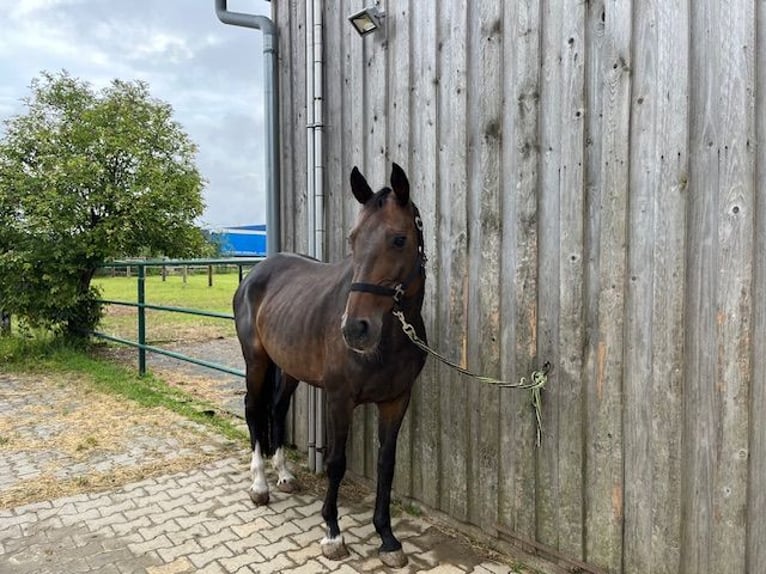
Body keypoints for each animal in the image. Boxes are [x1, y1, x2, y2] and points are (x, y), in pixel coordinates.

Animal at [231, 162, 428, 568]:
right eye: (353, 239)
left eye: (399, 239)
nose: (355, 329)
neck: (392, 336)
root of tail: (255, 273)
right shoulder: (340, 398)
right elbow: (337, 461)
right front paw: (333, 533)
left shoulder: (397, 400)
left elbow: (387, 464)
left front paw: (387, 538)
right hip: (256, 361)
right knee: (254, 409)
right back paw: (259, 485)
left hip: (289, 368)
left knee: (276, 409)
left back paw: (285, 477)